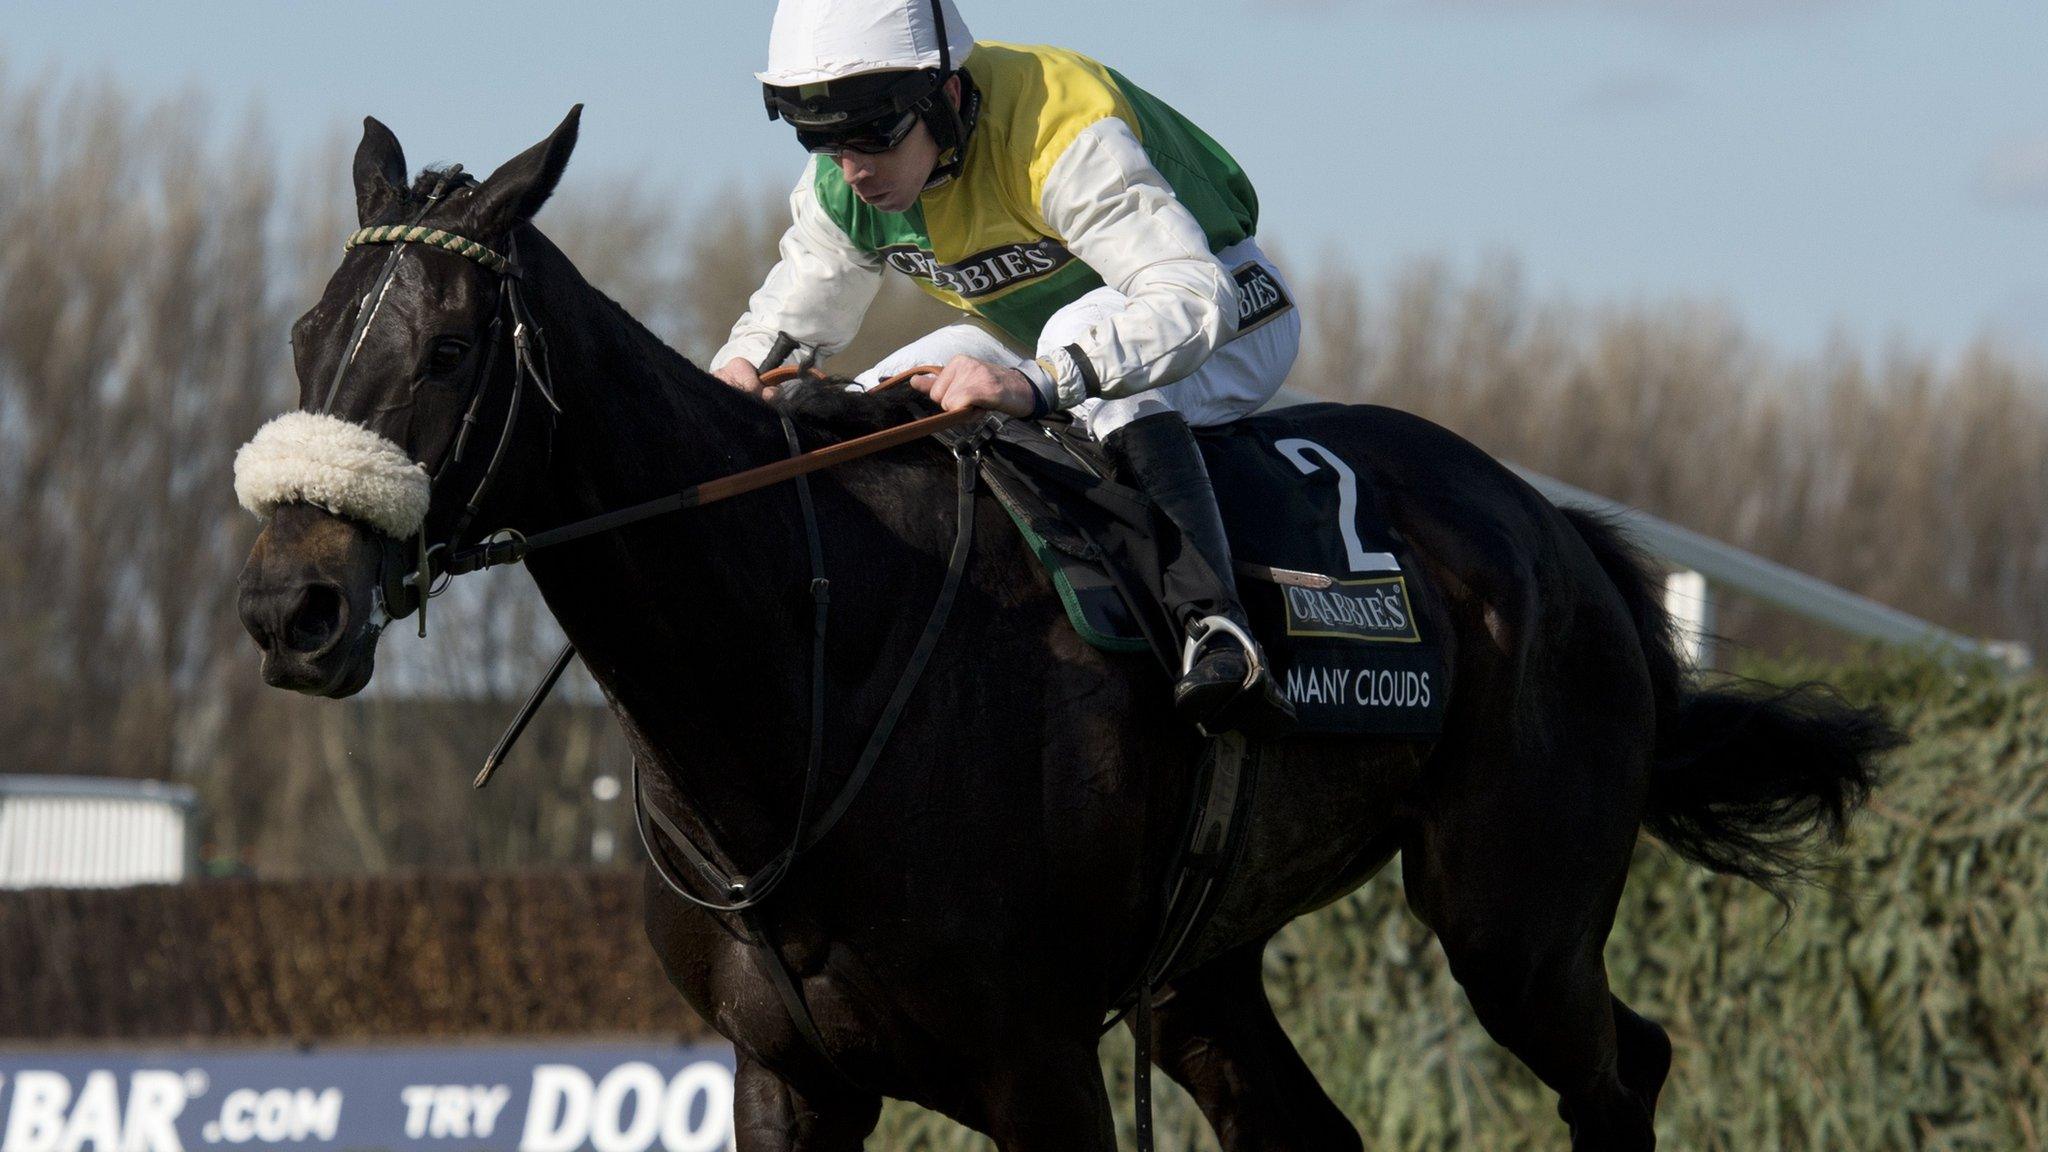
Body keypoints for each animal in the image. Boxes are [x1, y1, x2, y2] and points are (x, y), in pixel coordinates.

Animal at [235, 109, 1884, 1147]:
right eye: (307, 337)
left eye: (450, 349)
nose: (287, 607)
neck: (805, 680)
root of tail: (1556, 534)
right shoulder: (787, 1078)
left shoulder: (1036, 1070)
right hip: (1202, 973)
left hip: (1513, 915)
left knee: (1623, 1070)